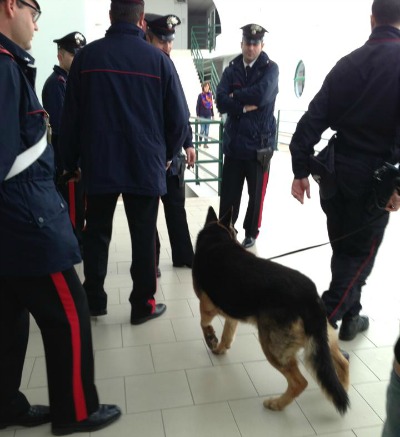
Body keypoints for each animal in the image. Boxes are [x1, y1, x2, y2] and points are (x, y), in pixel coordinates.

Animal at [192, 206, 348, 414]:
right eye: (235, 233)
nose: (240, 242)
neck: (216, 237)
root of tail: (310, 297)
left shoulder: (207, 305)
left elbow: (203, 323)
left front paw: (211, 339)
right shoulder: (231, 315)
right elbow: (227, 334)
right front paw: (220, 348)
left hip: (272, 348)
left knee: (300, 382)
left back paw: (277, 403)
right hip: (323, 339)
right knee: (343, 363)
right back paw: (344, 387)